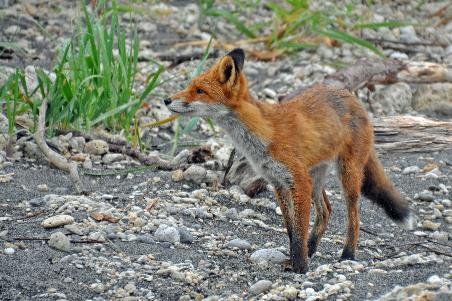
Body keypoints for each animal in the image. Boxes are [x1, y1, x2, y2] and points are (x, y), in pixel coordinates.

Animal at [164, 48, 414, 272]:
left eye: (199, 90)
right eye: (190, 86)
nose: (166, 99)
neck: (263, 133)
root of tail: (354, 99)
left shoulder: (298, 180)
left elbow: (300, 228)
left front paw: (300, 267)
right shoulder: (278, 182)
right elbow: (291, 230)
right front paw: (294, 260)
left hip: (347, 174)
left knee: (354, 215)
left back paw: (348, 254)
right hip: (316, 176)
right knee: (326, 211)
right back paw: (312, 249)